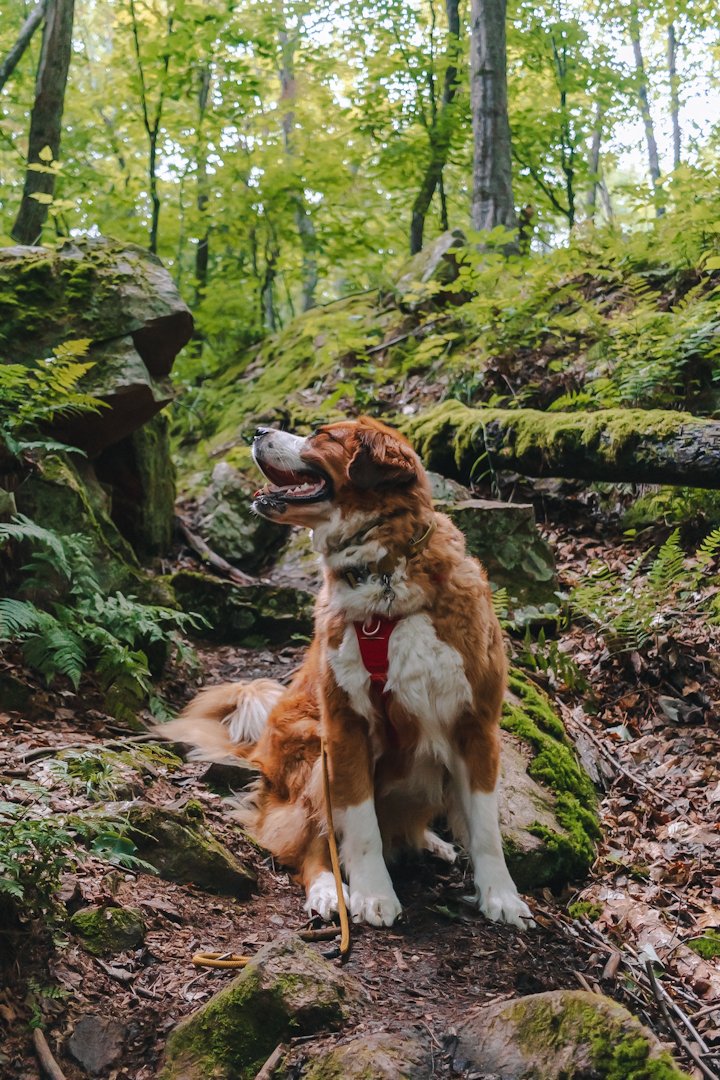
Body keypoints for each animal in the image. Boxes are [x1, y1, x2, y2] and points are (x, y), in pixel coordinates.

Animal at [162, 419, 535, 928]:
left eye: (322, 434)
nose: (256, 429)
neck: (384, 576)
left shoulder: (475, 725)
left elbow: (486, 828)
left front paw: (501, 896)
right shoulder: (345, 727)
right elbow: (359, 826)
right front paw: (373, 894)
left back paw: (428, 841)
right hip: (312, 750)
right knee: (313, 844)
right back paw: (328, 890)